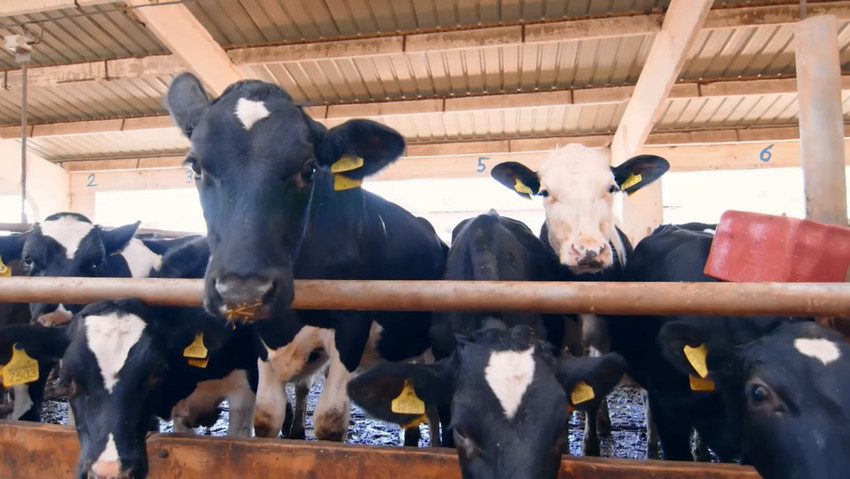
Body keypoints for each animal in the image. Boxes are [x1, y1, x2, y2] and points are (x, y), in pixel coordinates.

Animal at [162, 73, 448, 444]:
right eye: (195, 164)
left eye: (310, 168)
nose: (243, 291)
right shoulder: (263, 336)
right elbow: (267, 417)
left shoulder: (352, 327)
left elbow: (330, 421)